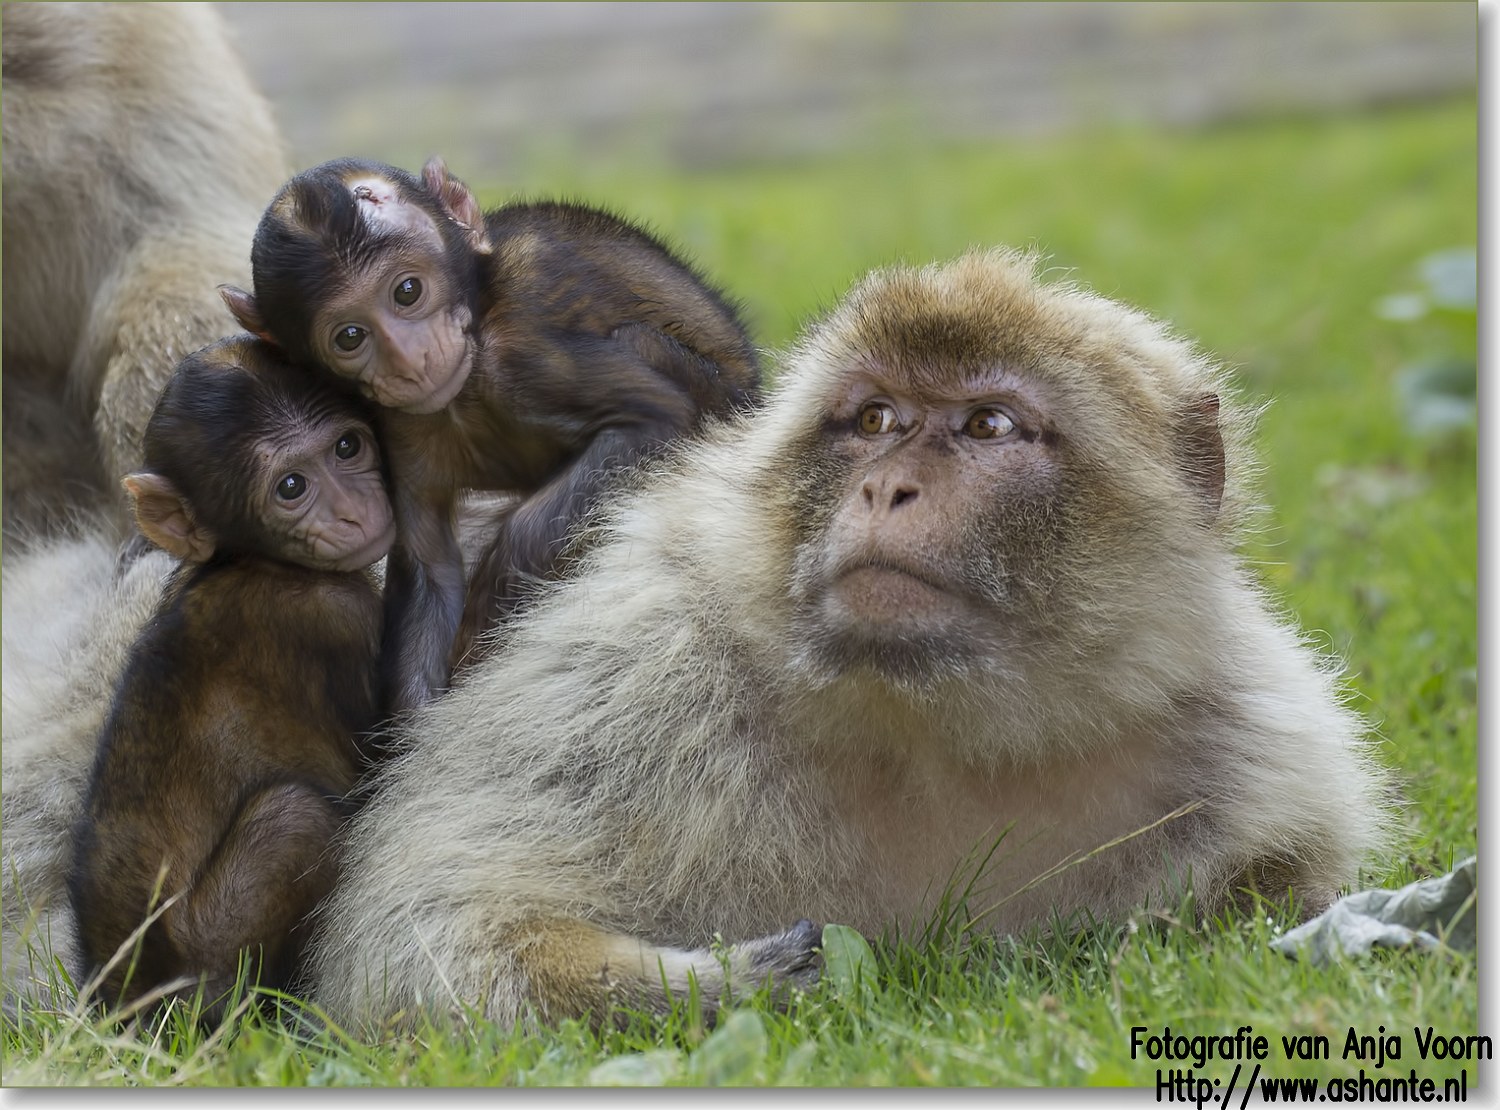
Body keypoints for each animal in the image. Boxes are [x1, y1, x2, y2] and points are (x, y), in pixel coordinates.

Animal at [65, 337, 393, 1018]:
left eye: (347, 448)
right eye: (291, 486)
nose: (353, 512)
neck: (249, 559)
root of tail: (123, 1002)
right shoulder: (334, 617)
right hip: (211, 961)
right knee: (296, 816)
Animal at [219, 157, 763, 712]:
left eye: (407, 291)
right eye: (351, 336)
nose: (410, 360)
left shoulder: (521, 356)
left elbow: (653, 418)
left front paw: (492, 602)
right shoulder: (394, 423)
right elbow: (433, 569)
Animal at [299, 249, 1388, 1031]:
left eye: (989, 426)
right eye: (874, 419)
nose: (887, 487)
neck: (942, 730)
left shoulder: (1246, 736)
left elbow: (1284, 883)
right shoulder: (630, 680)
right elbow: (422, 933)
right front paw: (714, 986)